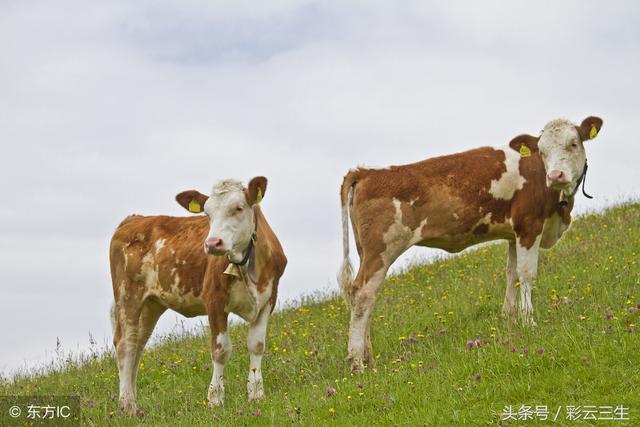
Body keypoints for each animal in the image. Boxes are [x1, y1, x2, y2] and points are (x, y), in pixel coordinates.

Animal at [110, 176, 288, 412]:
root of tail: (134, 219)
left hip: (151, 304)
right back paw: (126, 405)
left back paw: (133, 400)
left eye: (238, 208)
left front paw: (256, 394)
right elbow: (221, 350)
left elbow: (257, 345)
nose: (212, 243)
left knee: (137, 345)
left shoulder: (268, 300)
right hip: (127, 294)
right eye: (207, 214)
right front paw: (215, 398)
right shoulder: (214, 300)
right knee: (125, 345)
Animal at [338, 115, 604, 372]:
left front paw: (509, 319)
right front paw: (529, 322)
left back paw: (369, 360)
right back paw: (356, 363)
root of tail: (366, 172)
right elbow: (527, 274)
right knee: (363, 295)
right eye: (542, 150)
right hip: (380, 251)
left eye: (573, 143)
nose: (555, 175)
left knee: (366, 297)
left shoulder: (513, 234)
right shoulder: (529, 226)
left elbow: (511, 274)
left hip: (366, 252)